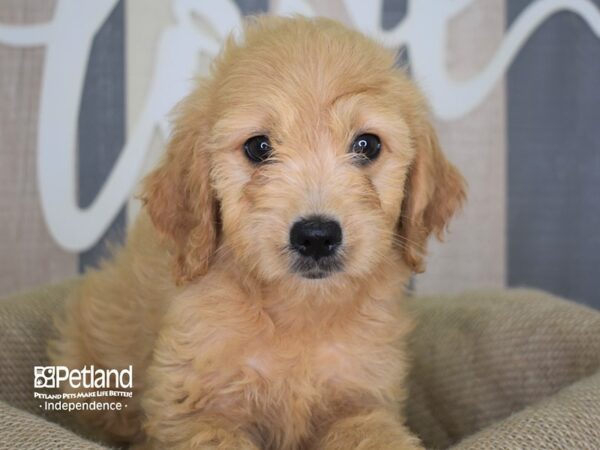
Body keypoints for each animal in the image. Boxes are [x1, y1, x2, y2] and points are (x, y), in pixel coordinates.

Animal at [49, 15, 466, 448]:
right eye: (259, 147)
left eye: (367, 144)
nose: (316, 236)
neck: (298, 312)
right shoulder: (194, 411)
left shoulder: (362, 400)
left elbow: (375, 433)